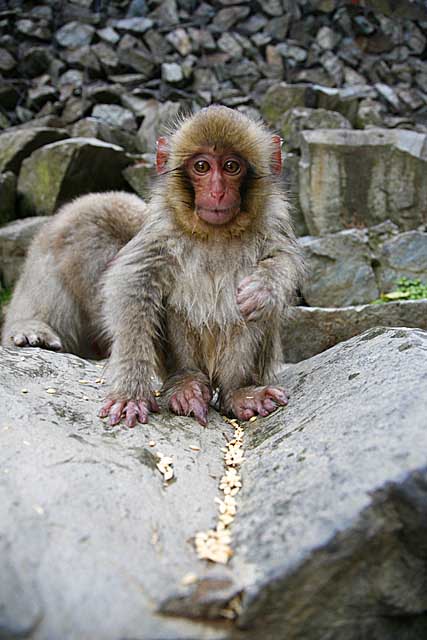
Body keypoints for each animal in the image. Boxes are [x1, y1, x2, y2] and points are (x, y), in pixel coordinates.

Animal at [2, 104, 304, 424]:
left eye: (231, 166)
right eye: (202, 167)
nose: (217, 192)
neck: (215, 232)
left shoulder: (273, 220)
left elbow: (283, 261)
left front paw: (264, 289)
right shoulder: (161, 231)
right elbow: (133, 288)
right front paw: (131, 393)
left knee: (252, 313)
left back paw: (240, 391)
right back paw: (185, 385)